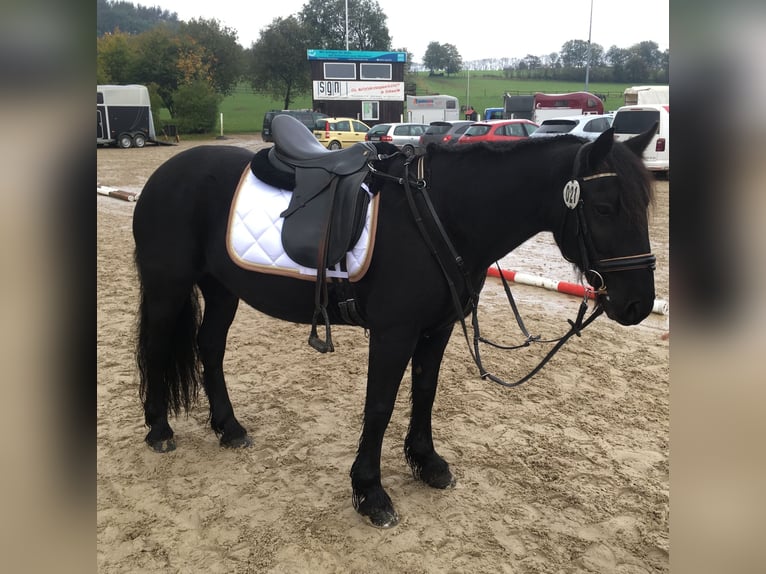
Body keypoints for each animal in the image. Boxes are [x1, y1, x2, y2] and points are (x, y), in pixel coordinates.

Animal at [132, 117, 657, 528]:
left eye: (645, 208)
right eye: (605, 207)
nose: (640, 304)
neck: (441, 213)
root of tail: (165, 173)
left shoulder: (437, 328)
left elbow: (424, 392)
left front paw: (426, 462)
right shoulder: (394, 333)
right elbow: (380, 406)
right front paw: (370, 492)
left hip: (222, 289)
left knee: (210, 347)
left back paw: (228, 427)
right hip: (167, 287)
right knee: (157, 347)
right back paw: (159, 430)